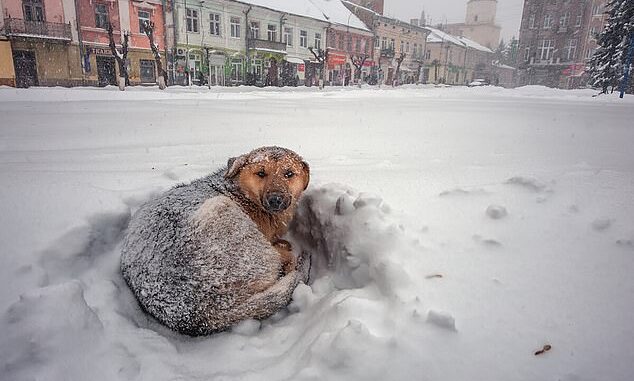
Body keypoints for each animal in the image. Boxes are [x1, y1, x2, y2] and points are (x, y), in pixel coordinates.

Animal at [119, 147, 310, 334]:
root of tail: (202, 314)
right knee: (283, 261)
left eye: (289, 174)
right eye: (261, 173)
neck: (240, 193)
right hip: (223, 214)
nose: (275, 200)